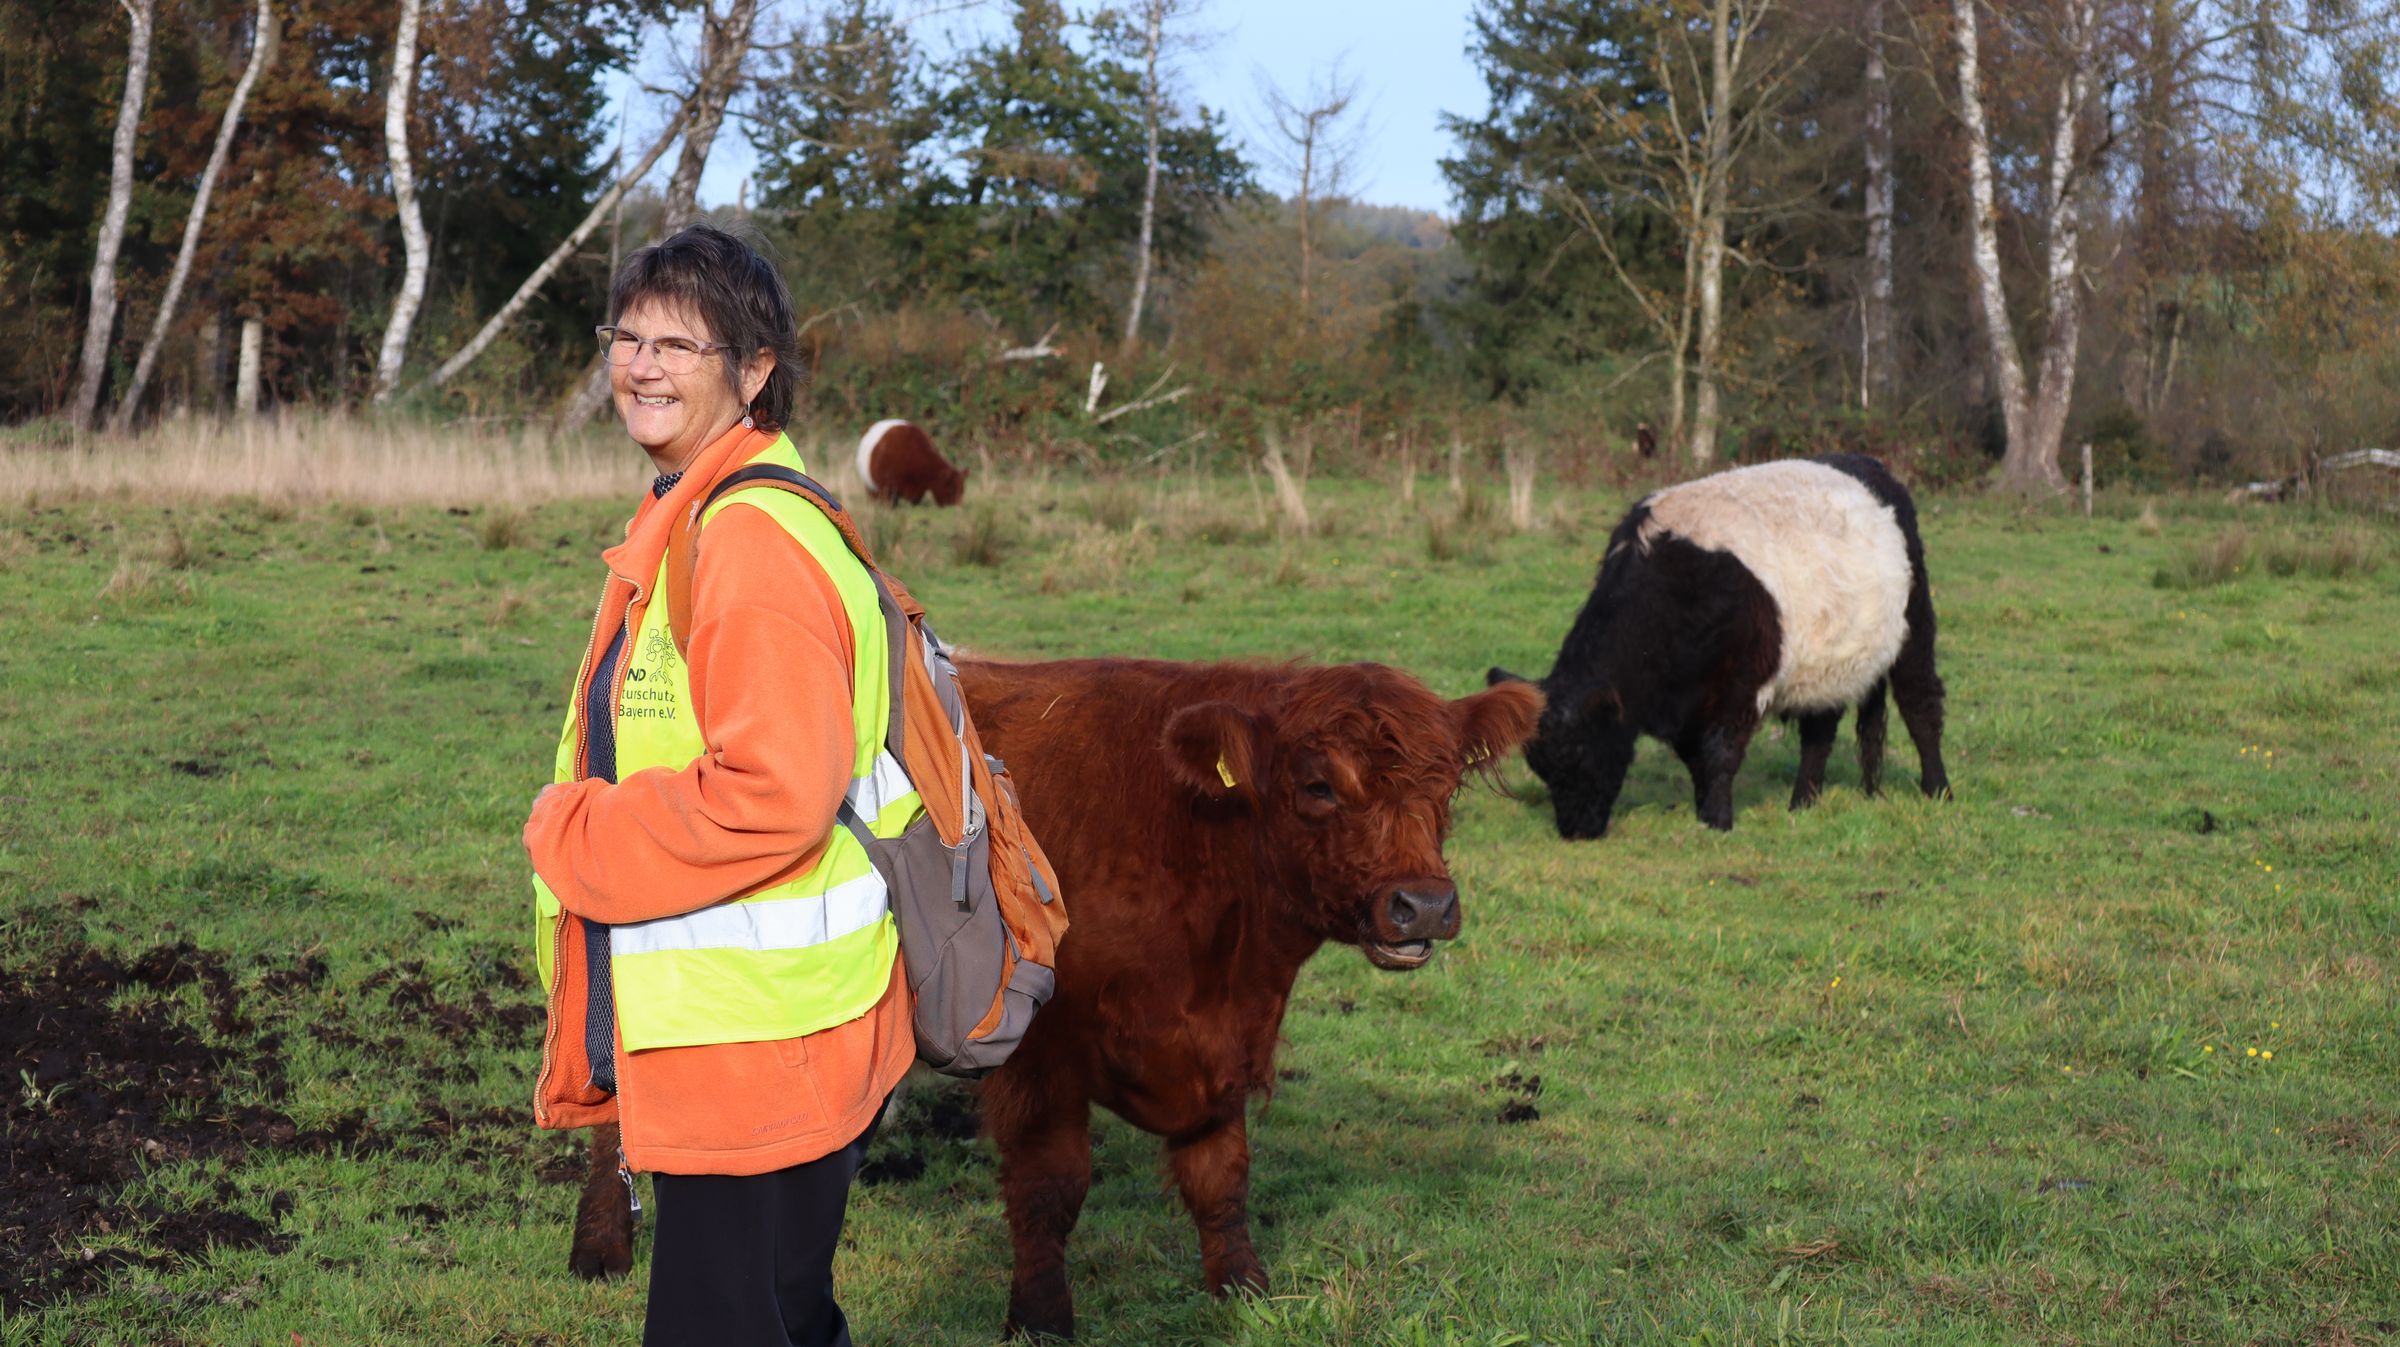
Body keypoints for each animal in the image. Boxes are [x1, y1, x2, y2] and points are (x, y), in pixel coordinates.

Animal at [561, 653, 1536, 1334]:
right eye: (1319, 784)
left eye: (1446, 784)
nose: (1423, 904)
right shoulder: (1041, 1053)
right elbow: (1050, 1188)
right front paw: (1039, 1317)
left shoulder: (1223, 1047)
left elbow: (1222, 1176)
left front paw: (1244, 1287)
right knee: (618, 1110)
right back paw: (601, 1248)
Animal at [1488, 456, 1958, 835]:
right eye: (1539, 766)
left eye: (1582, 750)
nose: (1575, 830)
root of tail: (1869, 465)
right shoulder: (1691, 703)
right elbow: (1698, 758)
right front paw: (1704, 811)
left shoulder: (1741, 688)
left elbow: (1720, 753)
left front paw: (1717, 821)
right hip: (1825, 662)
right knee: (1819, 732)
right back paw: (1802, 803)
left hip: (1915, 626)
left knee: (1921, 706)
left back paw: (1938, 790)